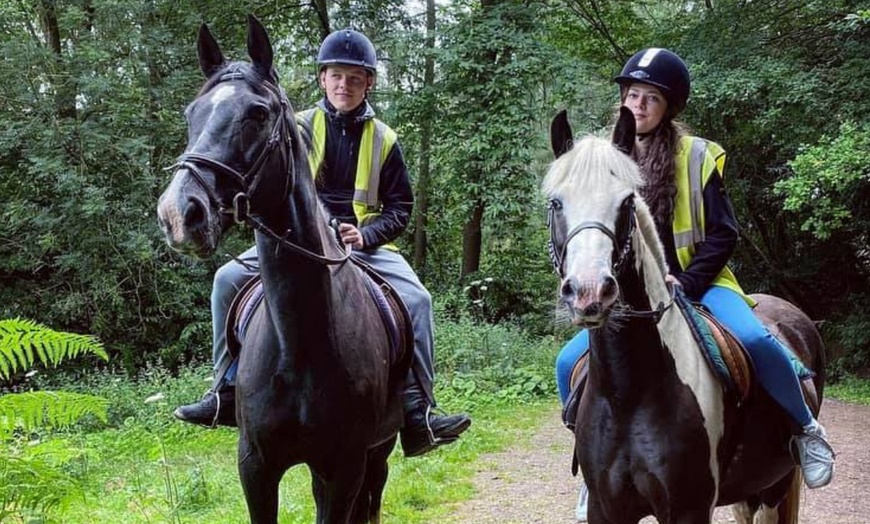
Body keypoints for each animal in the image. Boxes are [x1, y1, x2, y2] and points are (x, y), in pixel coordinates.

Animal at [155, 15, 410, 520]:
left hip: (378, 451)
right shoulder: (256, 466)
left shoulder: (346, 465)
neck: (301, 345)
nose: (178, 213)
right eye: (192, 114)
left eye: (257, 114)